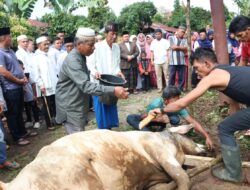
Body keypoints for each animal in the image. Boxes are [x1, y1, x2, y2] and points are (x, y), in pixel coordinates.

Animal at [0, 127, 205, 190]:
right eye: (190, 136)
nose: (205, 147)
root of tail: (10, 185)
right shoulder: (157, 149)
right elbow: (181, 176)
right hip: (84, 179)